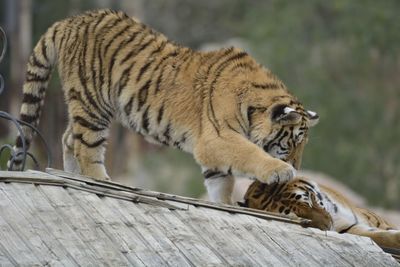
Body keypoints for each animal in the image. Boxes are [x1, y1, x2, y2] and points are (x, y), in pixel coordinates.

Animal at [7, 8, 318, 205]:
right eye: (293, 142)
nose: (297, 167)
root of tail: (70, 21)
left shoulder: (213, 151)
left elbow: (221, 183)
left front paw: (225, 204)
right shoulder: (216, 138)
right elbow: (249, 153)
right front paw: (280, 170)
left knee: (68, 138)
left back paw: (73, 175)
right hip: (92, 103)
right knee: (87, 147)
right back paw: (100, 180)